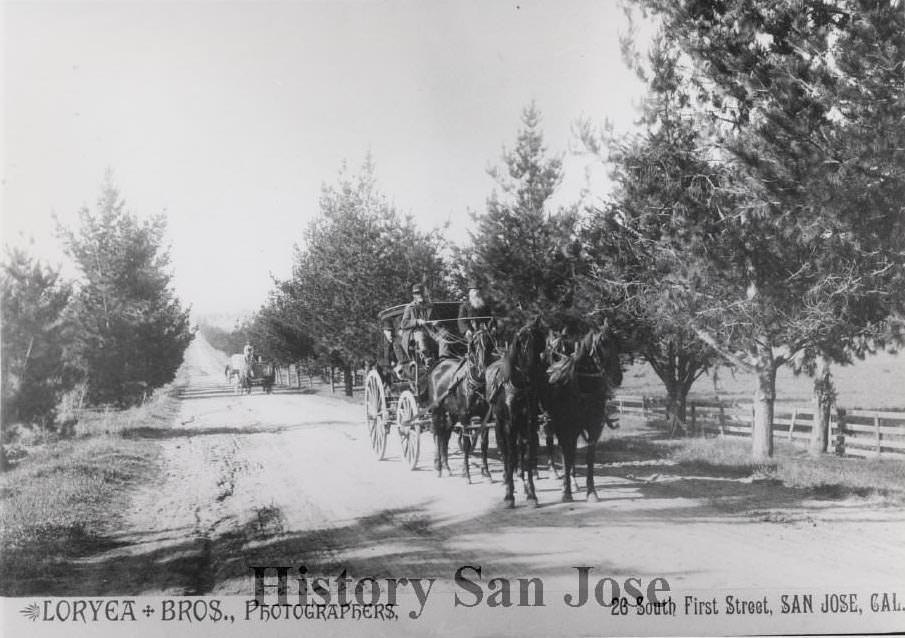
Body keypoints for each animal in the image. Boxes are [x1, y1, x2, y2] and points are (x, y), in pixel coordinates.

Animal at [424, 330, 494, 480]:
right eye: (473, 346)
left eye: (490, 344)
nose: (483, 370)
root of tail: (437, 366)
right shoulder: (465, 417)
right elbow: (466, 444)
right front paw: (467, 473)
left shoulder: (485, 417)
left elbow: (484, 444)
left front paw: (486, 472)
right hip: (437, 410)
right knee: (437, 433)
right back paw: (439, 466)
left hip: (452, 413)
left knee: (445, 434)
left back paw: (446, 465)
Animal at [488, 320, 544, 510]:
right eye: (523, 343)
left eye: (541, 343)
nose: (535, 375)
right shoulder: (509, 425)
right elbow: (510, 456)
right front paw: (509, 496)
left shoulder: (529, 423)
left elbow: (526, 456)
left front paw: (532, 493)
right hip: (499, 425)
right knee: (506, 453)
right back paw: (507, 478)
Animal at [544, 322, 620, 502]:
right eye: (603, 343)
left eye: (617, 343)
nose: (618, 377)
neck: (584, 388)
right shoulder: (566, 427)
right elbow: (567, 455)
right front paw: (566, 492)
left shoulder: (593, 427)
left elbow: (588, 457)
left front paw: (590, 491)